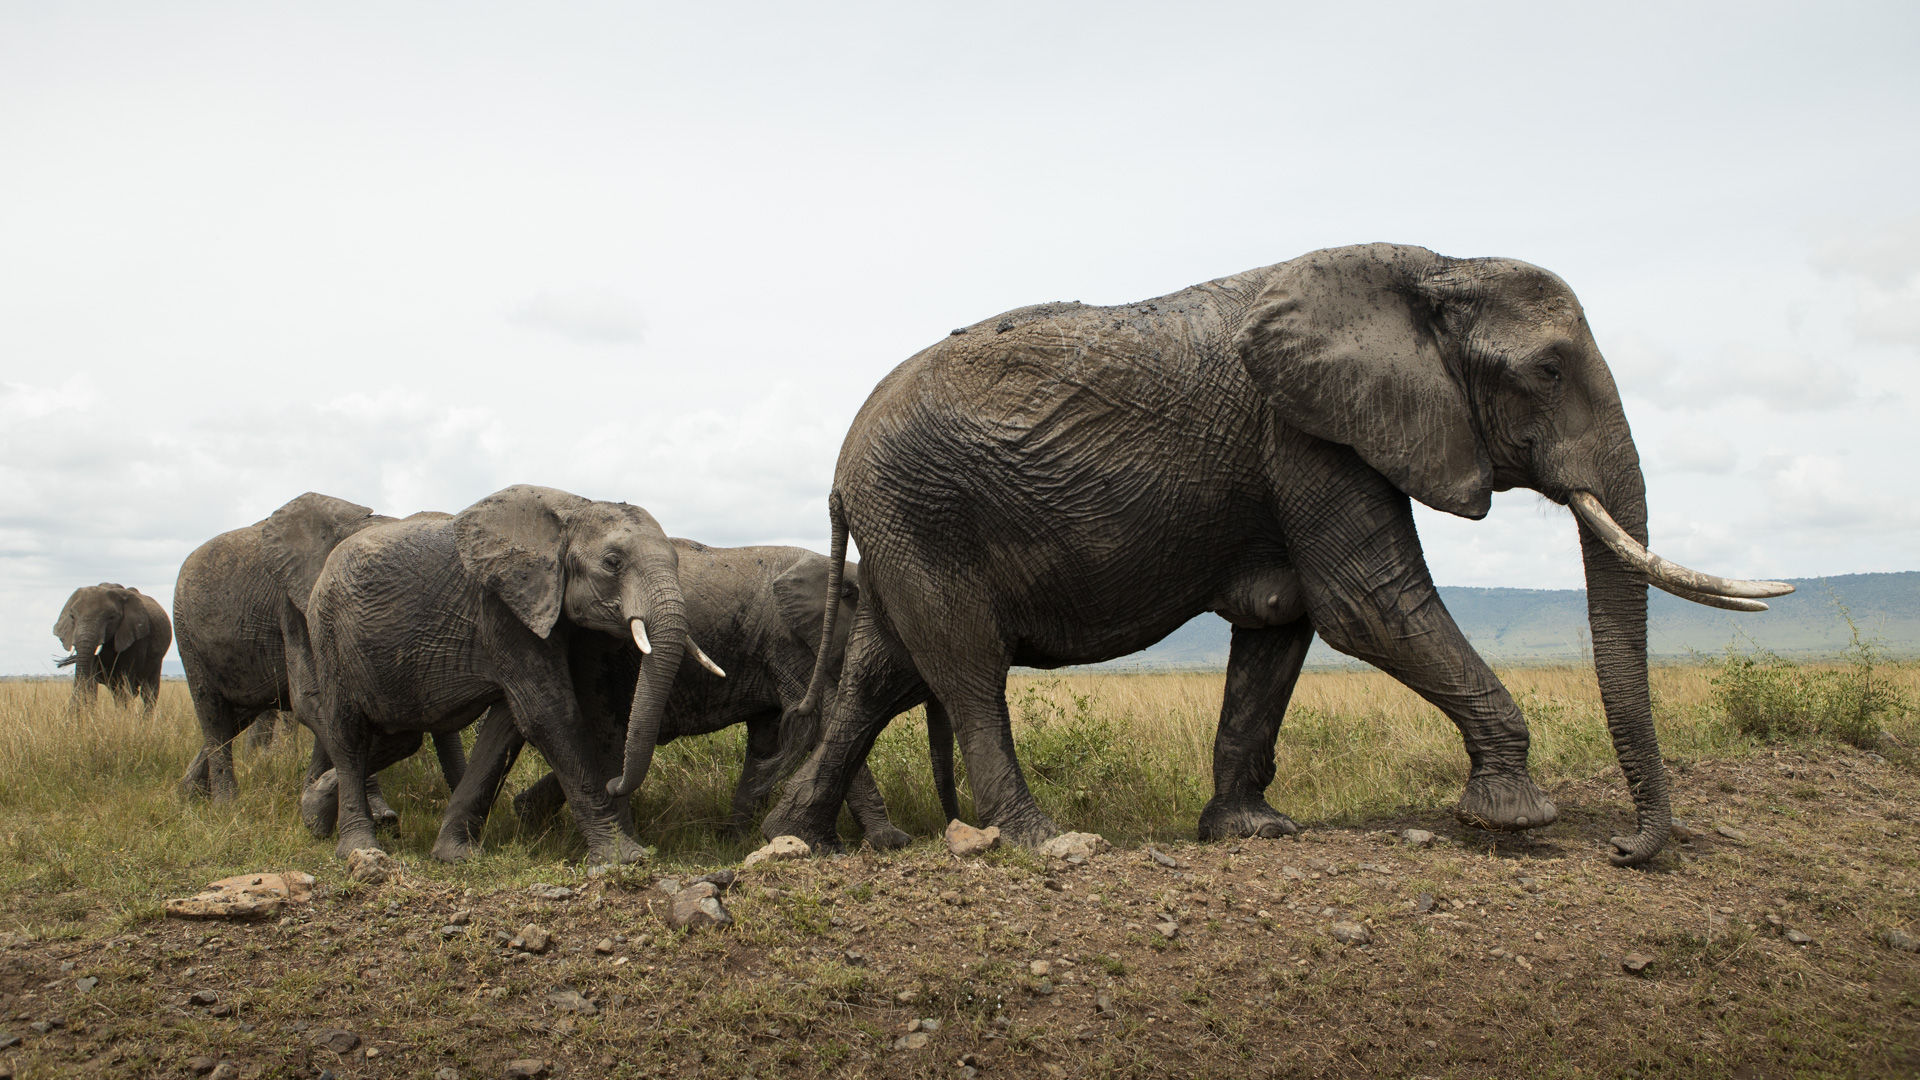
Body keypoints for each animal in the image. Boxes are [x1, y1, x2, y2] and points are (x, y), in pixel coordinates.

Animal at [55, 580, 172, 714]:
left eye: (111, 617)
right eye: (72, 617)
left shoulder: (137, 637)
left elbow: (125, 682)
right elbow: (92, 682)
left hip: (157, 659)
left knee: (148, 692)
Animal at [175, 491, 468, 818]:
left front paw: (312, 796)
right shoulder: (293, 604)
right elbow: (311, 698)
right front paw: (379, 814)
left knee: (235, 716)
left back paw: (188, 792)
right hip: (185, 629)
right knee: (212, 712)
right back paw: (224, 805)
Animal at [307, 484, 725, 860]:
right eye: (612, 563)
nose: (615, 783)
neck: (575, 509)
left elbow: (524, 724)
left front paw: (456, 856)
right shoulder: (502, 607)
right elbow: (550, 716)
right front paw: (624, 858)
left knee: (401, 737)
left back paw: (315, 807)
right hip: (327, 635)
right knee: (347, 735)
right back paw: (359, 849)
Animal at [428, 538, 952, 857]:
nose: (951, 822)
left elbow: (765, 740)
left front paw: (737, 841)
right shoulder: (786, 641)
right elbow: (823, 719)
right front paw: (891, 841)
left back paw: (528, 817)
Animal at [760, 239, 1781, 860]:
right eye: (1548, 370)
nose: (1627, 849)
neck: (1431, 265)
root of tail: (843, 466)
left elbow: (1284, 619)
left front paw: (1253, 830)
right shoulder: (1306, 433)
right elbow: (1368, 604)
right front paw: (1514, 817)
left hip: (905, 527)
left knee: (879, 677)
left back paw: (792, 842)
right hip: (924, 513)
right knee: (968, 670)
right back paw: (1050, 843)